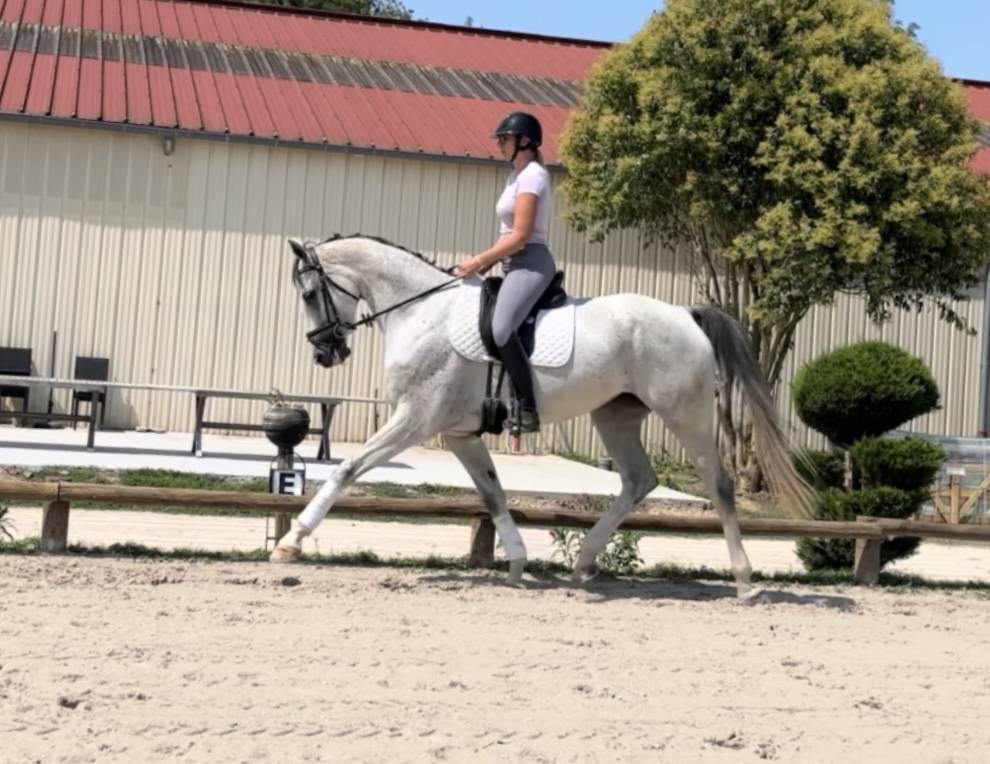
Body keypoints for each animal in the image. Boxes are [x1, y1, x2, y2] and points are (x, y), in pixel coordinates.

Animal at [272, 234, 813, 597]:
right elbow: (492, 494)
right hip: (615, 416)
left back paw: (744, 581)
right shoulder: (460, 434)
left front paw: (292, 541)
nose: (325, 353)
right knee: (638, 480)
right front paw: (517, 562)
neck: (423, 312)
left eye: (308, 294)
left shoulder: (416, 418)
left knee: (717, 484)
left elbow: (348, 468)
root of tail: (685, 314)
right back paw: (584, 564)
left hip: (687, 413)